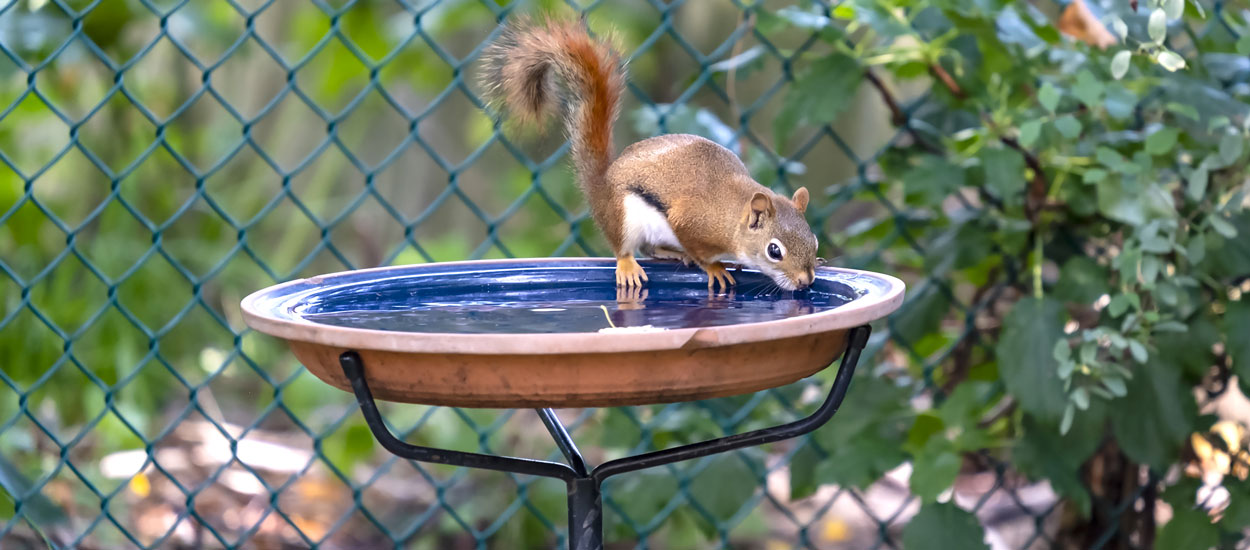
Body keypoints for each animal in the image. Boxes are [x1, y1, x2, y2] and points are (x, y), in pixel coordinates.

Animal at [480, 16, 820, 292]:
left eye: (814, 240)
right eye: (774, 251)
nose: (806, 281)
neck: (731, 215)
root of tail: (602, 185)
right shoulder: (690, 222)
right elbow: (700, 252)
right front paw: (714, 267)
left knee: (652, 249)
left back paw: (673, 253)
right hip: (624, 215)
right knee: (627, 248)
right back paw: (630, 265)